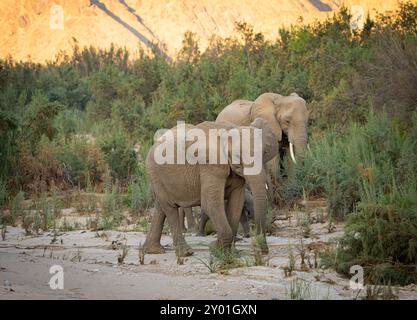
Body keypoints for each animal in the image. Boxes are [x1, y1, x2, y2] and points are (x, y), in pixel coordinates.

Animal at [143, 119, 276, 256]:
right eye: (237, 156)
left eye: (265, 153)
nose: (264, 251)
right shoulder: (210, 165)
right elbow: (210, 203)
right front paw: (215, 249)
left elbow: (236, 203)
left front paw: (229, 253)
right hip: (154, 171)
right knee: (170, 207)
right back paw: (186, 253)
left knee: (160, 207)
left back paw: (153, 250)